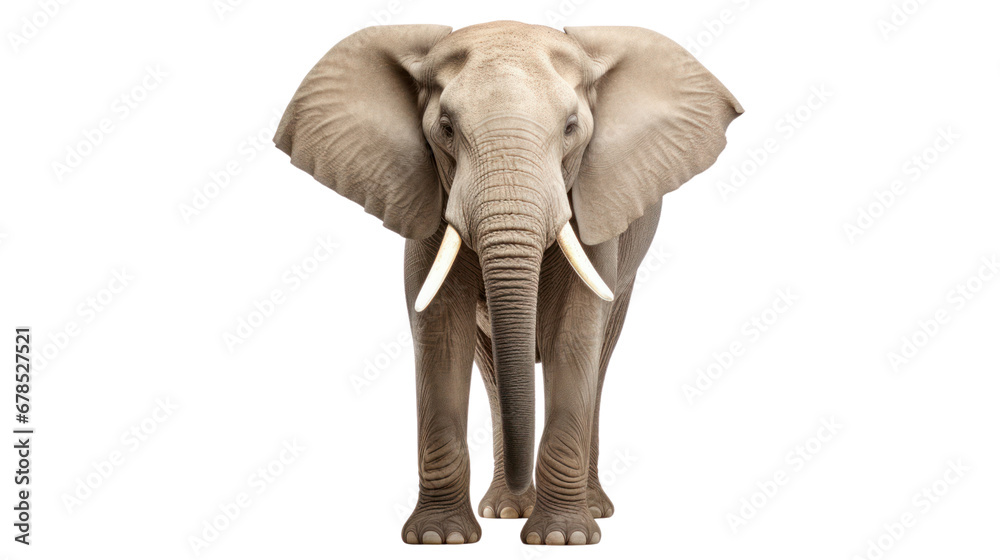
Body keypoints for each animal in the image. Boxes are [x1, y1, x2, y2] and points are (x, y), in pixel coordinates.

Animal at [274, 20, 741, 545]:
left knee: (599, 358)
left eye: (571, 128)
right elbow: (440, 333)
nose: (524, 504)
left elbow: (572, 333)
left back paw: (590, 509)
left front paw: (561, 539)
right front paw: (439, 538)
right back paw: (506, 509)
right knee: (493, 369)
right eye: (445, 129)